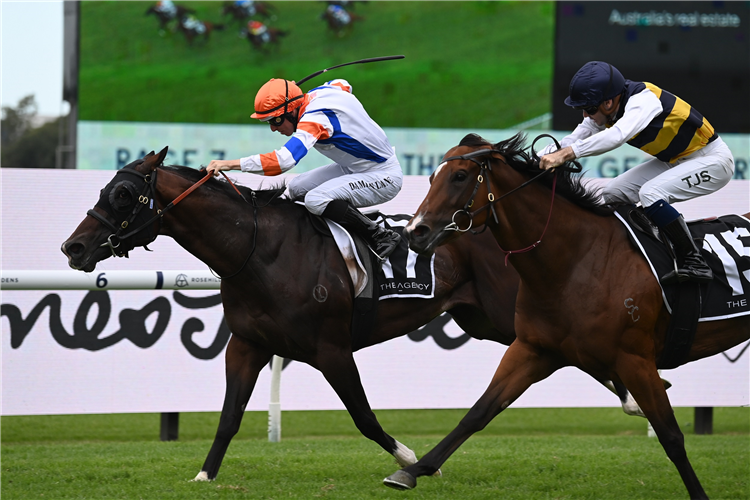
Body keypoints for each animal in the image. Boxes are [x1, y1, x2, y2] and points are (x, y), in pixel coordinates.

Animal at [60, 147, 640, 480]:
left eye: (124, 193)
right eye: (105, 188)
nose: (74, 247)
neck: (257, 250)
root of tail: (490, 218)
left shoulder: (331, 349)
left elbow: (363, 416)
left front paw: (408, 459)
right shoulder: (247, 344)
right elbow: (228, 417)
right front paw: (204, 477)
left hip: (505, 314)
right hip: (485, 322)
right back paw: (634, 398)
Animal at [388, 132, 750, 496]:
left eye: (460, 176)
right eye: (432, 178)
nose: (415, 231)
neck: (577, 261)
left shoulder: (636, 360)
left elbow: (671, 436)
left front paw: (699, 494)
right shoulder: (533, 349)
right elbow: (479, 412)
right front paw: (413, 470)